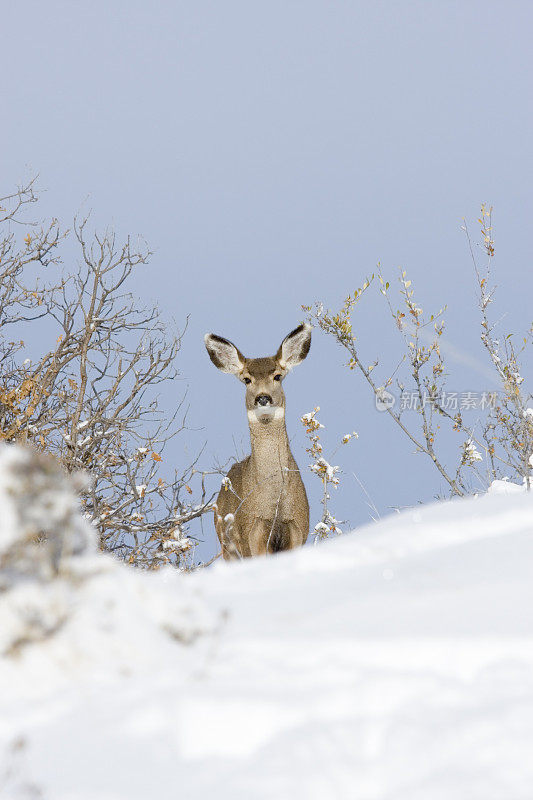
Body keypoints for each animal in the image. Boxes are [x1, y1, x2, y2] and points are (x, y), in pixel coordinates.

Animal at [204, 322, 312, 560]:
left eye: (278, 376)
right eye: (246, 379)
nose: (263, 398)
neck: (275, 506)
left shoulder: (298, 530)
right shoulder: (251, 534)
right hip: (227, 546)